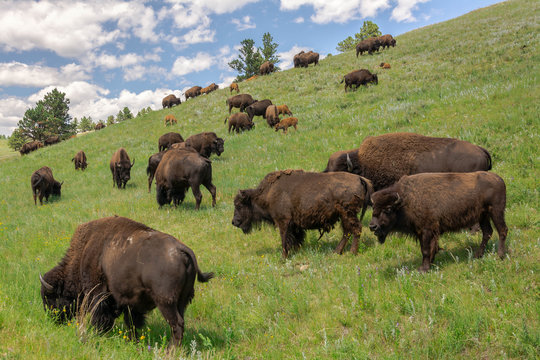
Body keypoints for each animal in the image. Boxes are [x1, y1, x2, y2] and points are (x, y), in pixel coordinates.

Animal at [39, 215, 213, 348]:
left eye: (51, 298)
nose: (53, 320)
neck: (84, 251)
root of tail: (181, 250)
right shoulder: (132, 302)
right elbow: (132, 321)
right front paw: (132, 341)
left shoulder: (97, 293)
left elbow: (100, 315)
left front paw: (99, 333)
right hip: (182, 301)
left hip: (166, 302)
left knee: (177, 324)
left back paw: (170, 350)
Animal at [230, 170, 374, 258]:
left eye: (239, 205)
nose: (234, 222)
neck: (268, 194)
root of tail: (360, 178)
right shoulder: (294, 225)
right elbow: (295, 239)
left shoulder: (283, 222)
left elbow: (284, 239)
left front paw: (283, 257)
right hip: (344, 216)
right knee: (347, 232)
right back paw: (336, 252)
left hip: (348, 214)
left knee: (355, 229)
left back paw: (352, 252)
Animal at [370, 171, 508, 270]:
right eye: (374, 207)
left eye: (388, 209)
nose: (372, 226)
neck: (405, 201)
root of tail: (499, 179)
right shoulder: (423, 232)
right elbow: (431, 248)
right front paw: (430, 264)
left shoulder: (426, 230)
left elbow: (426, 250)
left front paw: (423, 268)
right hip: (483, 216)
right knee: (487, 232)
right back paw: (478, 255)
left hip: (496, 212)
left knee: (502, 230)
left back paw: (500, 255)